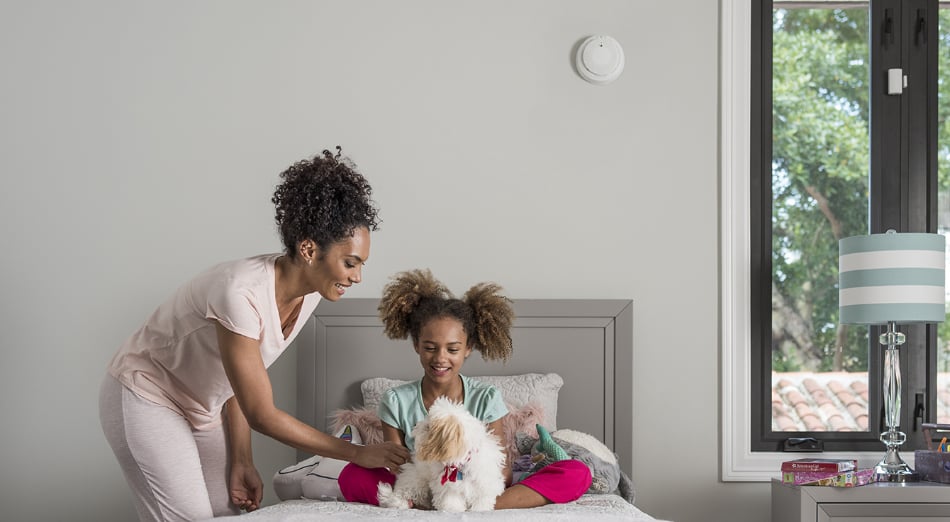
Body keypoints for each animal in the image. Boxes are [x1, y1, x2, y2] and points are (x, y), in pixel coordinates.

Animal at [382, 396, 512, 510]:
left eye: (428, 427)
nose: (415, 427)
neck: (459, 466)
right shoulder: (448, 487)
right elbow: (451, 500)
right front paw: (453, 510)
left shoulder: (484, 483)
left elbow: (481, 501)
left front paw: (479, 510)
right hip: (415, 480)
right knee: (402, 494)